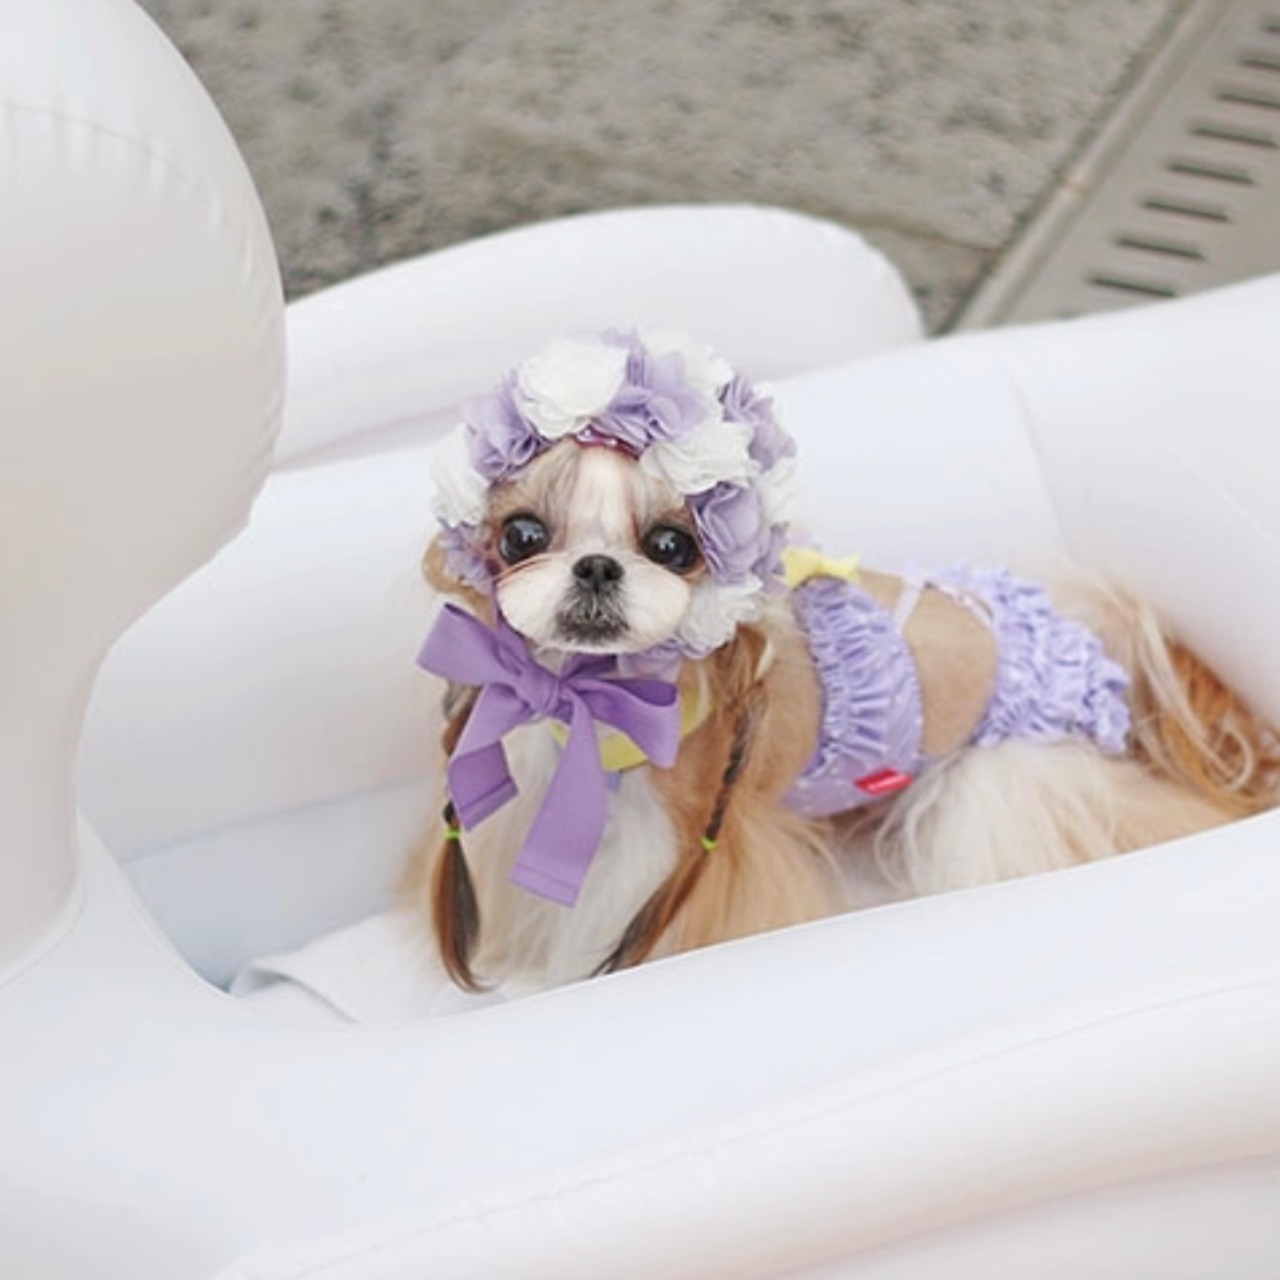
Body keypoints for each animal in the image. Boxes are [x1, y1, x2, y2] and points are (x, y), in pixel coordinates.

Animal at [406, 330, 1279, 995]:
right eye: (522, 535)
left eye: (672, 546)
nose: (594, 567)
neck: (593, 701)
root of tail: (1096, 641)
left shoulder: (675, 841)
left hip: (1002, 780)